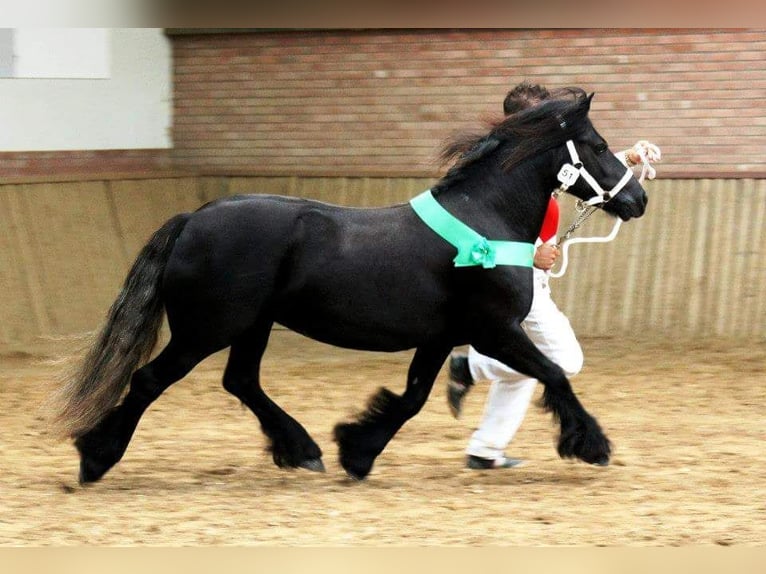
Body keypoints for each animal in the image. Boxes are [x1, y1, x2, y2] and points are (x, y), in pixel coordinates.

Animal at [52, 88, 647, 483]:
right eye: (597, 144)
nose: (637, 199)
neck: (484, 218)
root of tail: (193, 218)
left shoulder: (440, 337)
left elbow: (412, 397)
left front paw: (356, 450)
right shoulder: (495, 329)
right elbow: (553, 373)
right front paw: (592, 445)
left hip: (253, 325)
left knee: (241, 381)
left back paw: (303, 450)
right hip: (207, 329)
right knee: (151, 379)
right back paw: (95, 458)